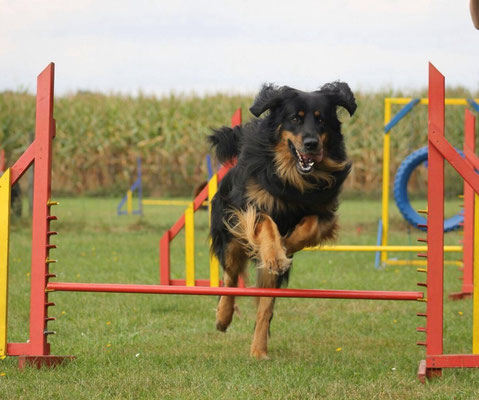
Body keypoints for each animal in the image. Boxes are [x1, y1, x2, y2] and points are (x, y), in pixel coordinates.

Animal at [209, 82, 356, 360]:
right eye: (295, 118)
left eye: (322, 120)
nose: (311, 144)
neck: (293, 176)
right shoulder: (249, 206)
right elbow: (267, 223)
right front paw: (276, 254)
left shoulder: (324, 211)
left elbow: (309, 225)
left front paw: (287, 245)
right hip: (230, 236)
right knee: (230, 277)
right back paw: (223, 317)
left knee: (264, 308)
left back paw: (258, 350)